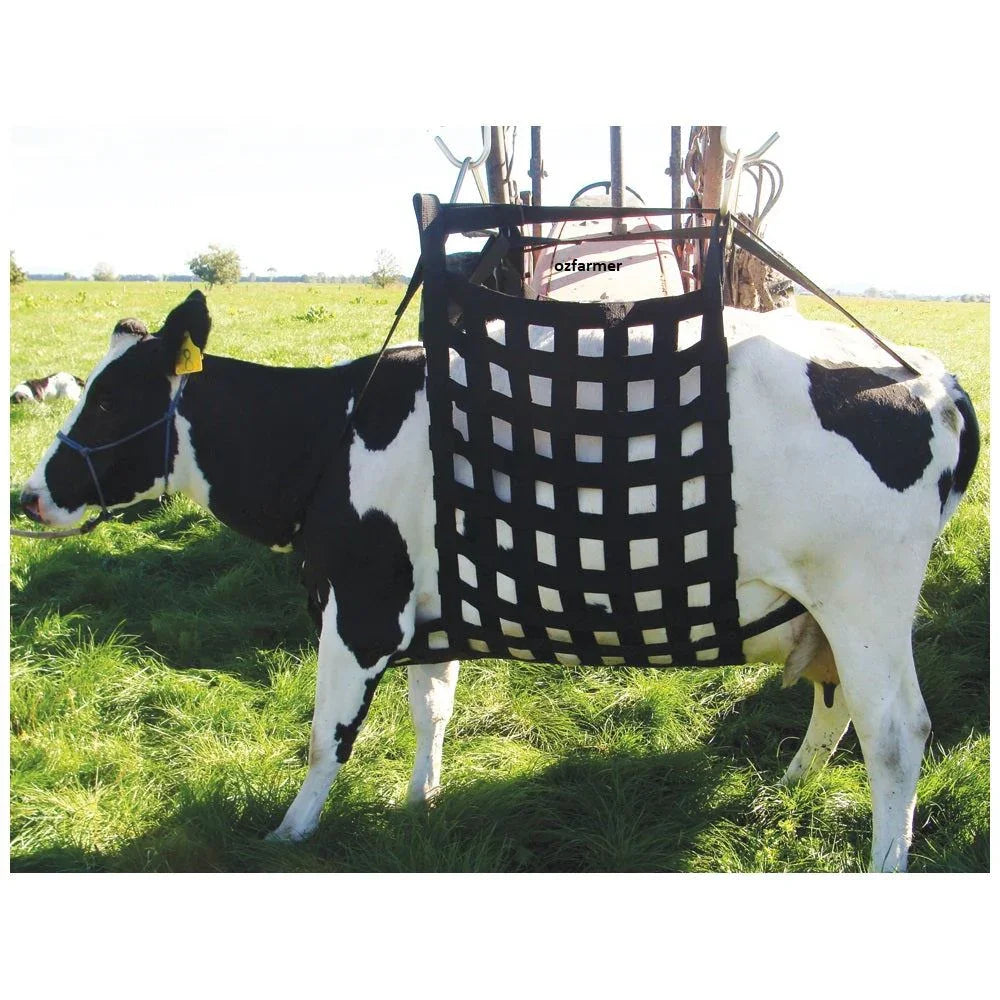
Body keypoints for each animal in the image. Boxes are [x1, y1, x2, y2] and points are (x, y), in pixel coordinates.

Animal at [19, 289, 979, 872]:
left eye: (111, 401)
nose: (28, 495)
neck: (337, 430)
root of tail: (926, 373)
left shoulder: (360, 603)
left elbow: (328, 736)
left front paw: (288, 833)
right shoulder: (424, 604)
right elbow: (430, 707)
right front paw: (421, 801)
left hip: (864, 602)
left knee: (896, 734)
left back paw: (883, 861)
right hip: (824, 612)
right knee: (837, 708)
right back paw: (782, 792)